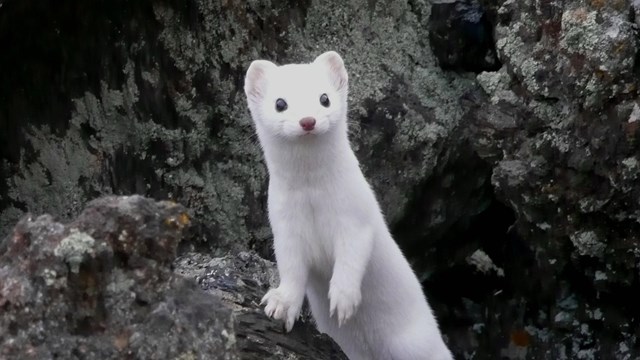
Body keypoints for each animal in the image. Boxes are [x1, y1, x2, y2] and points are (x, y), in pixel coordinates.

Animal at [242, 51, 452, 360]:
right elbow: (291, 267)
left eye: (324, 98)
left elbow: (352, 256)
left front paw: (343, 299)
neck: (312, 194)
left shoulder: (355, 213)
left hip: (417, 343)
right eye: (280, 103)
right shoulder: (284, 222)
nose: (308, 121)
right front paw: (280, 304)